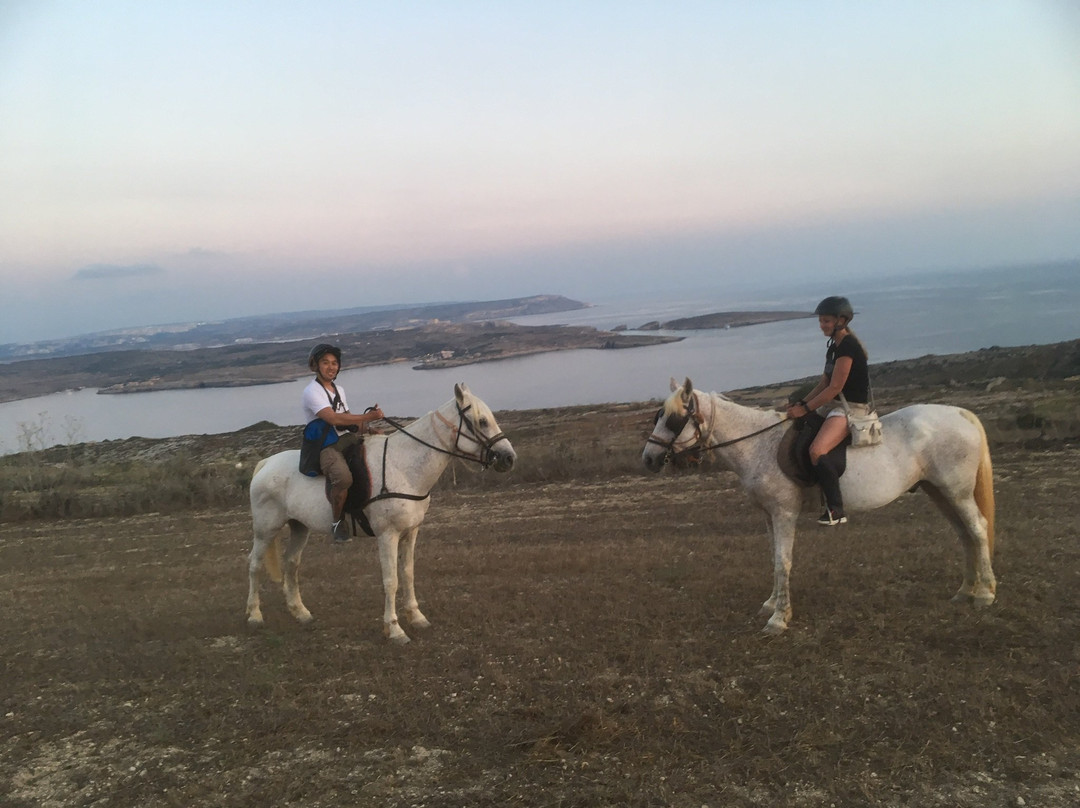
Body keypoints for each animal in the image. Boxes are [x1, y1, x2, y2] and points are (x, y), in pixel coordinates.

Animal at [247, 384, 516, 643]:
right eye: (482, 421)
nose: (509, 458)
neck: (403, 467)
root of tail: (265, 464)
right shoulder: (388, 535)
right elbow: (391, 580)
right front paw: (394, 629)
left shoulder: (410, 533)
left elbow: (407, 574)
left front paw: (416, 617)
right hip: (266, 529)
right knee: (255, 564)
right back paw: (254, 615)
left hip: (299, 527)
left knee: (291, 563)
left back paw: (300, 612)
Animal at [639, 375, 993, 635]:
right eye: (659, 416)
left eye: (673, 419)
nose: (649, 459)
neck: (758, 444)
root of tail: (960, 414)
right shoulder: (768, 515)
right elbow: (774, 558)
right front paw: (772, 604)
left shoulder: (783, 513)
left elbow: (783, 562)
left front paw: (779, 619)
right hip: (940, 492)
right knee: (964, 535)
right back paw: (966, 591)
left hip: (956, 492)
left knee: (977, 530)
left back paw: (985, 594)